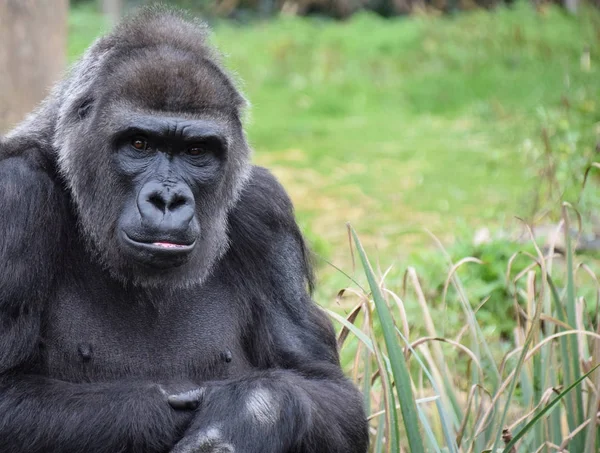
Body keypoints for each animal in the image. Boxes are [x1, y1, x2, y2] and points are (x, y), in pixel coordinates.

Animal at [0, 7, 368, 452]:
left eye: (196, 151)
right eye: (139, 144)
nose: (168, 200)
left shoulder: (266, 209)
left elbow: (327, 388)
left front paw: (249, 413)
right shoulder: (15, 194)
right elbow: (7, 393)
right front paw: (160, 414)